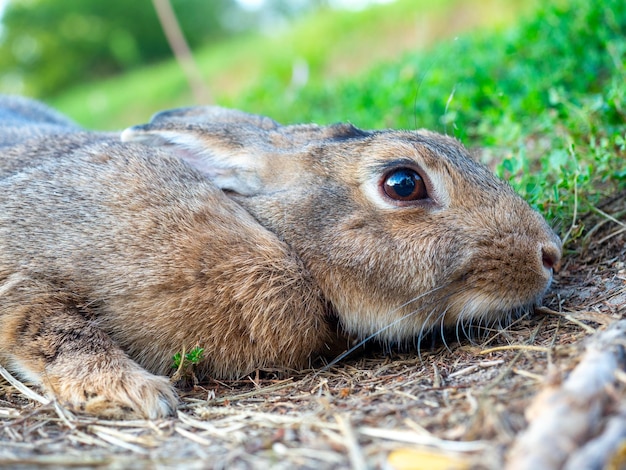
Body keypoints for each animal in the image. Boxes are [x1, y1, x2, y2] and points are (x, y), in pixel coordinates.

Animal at [0, 95, 560, 418]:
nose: (549, 253)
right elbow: (49, 324)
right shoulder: (27, 268)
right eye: (403, 183)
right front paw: (136, 394)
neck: (281, 244)